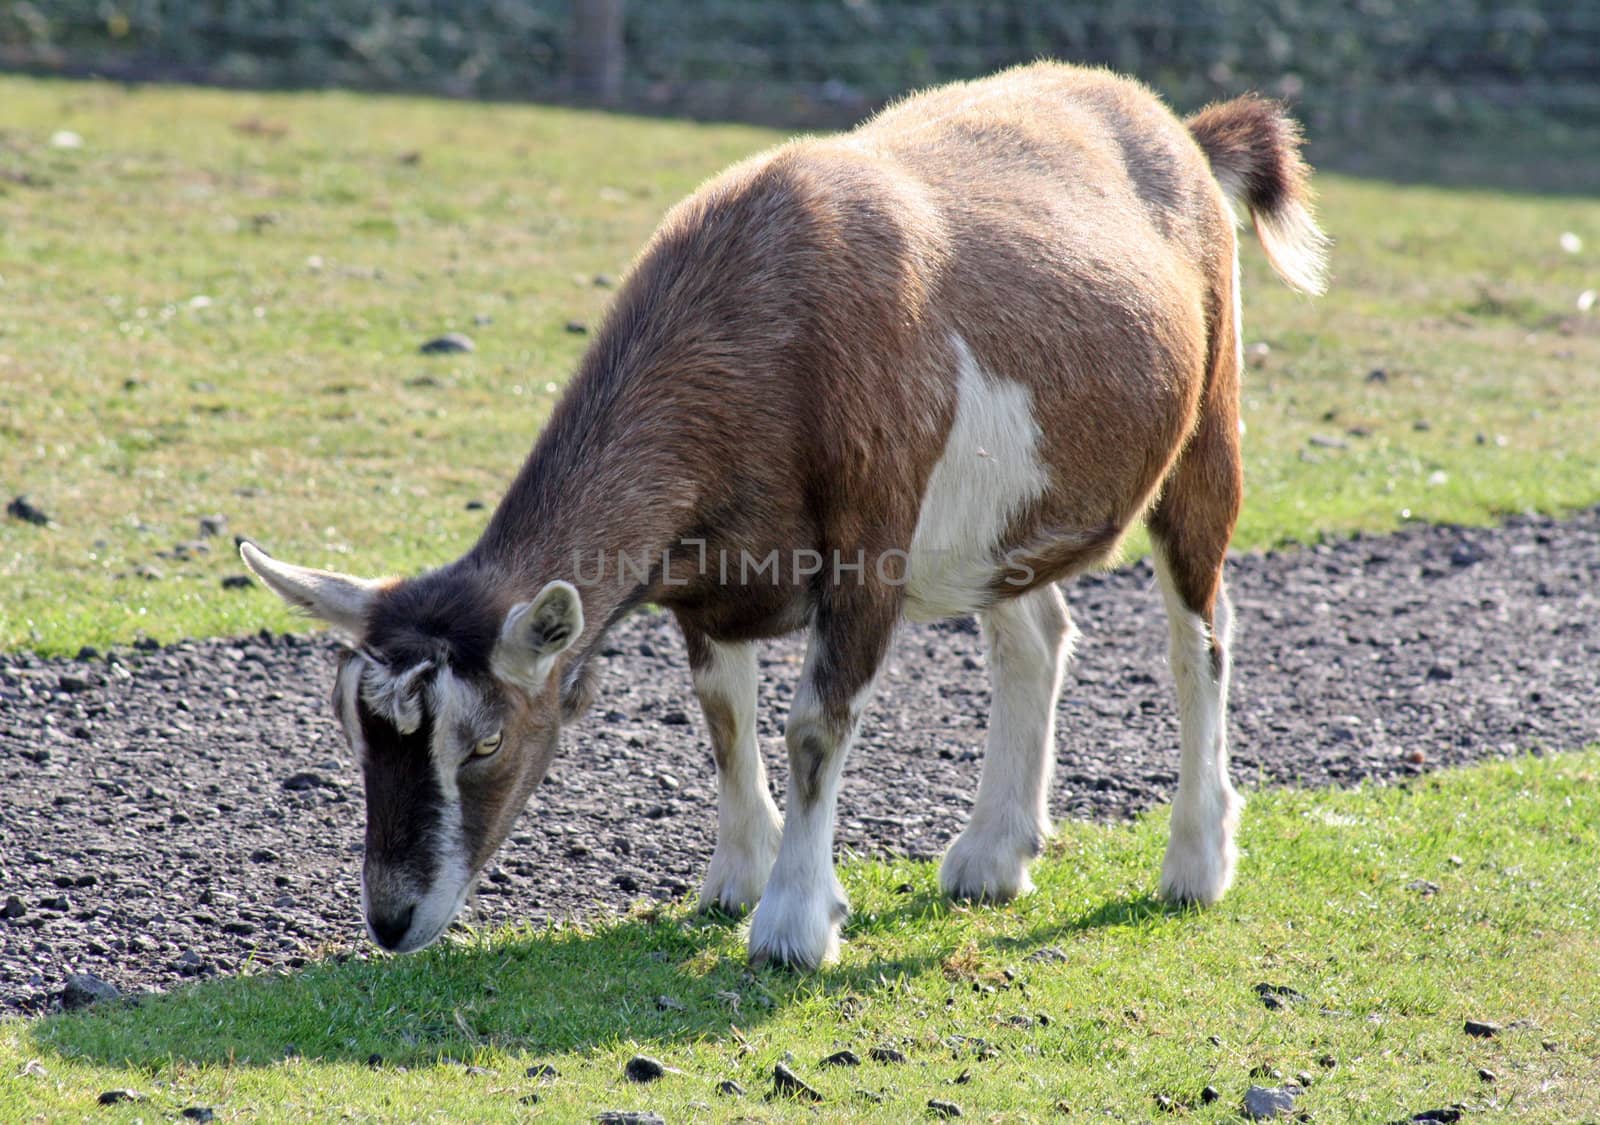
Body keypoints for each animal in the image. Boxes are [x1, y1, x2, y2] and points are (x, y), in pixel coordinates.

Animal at [243, 64, 1331, 966]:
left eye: (482, 743)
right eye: (356, 731)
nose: (392, 921)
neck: (759, 327)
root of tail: (1183, 133)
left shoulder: (869, 552)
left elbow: (815, 725)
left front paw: (793, 923)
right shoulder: (708, 581)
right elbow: (724, 717)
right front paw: (736, 878)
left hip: (1207, 423)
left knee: (1201, 634)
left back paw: (1194, 863)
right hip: (1000, 520)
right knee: (1034, 636)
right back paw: (992, 854)